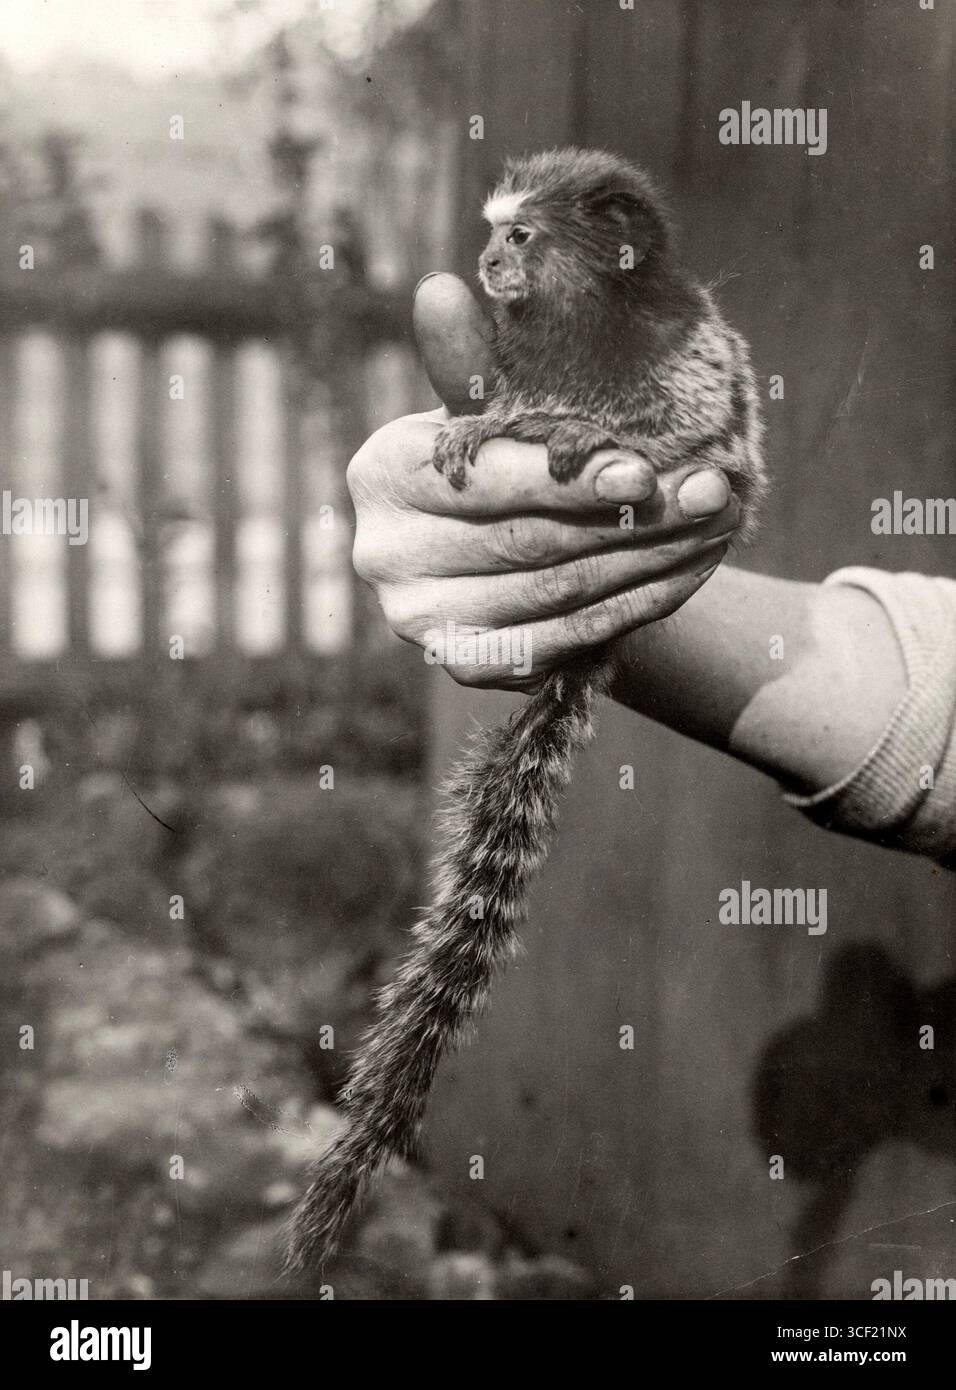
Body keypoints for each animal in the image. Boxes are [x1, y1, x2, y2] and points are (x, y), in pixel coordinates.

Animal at [285, 147, 768, 1274]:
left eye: (521, 235)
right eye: (492, 236)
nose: (488, 262)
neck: (586, 320)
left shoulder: (700, 376)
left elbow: (698, 444)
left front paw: (571, 427)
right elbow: (497, 402)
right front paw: (497, 420)